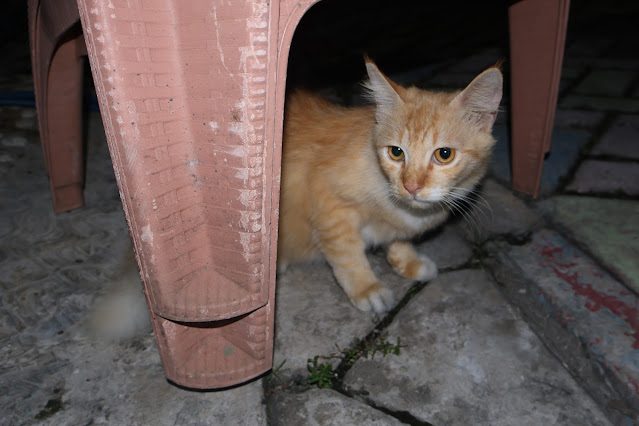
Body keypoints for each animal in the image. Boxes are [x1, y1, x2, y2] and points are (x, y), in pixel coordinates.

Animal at [277, 58, 502, 313]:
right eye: (396, 152)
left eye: (444, 154)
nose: (411, 187)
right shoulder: (327, 203)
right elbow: (347, 254)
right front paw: (366, 287)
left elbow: (398, 240)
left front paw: (409, 261)